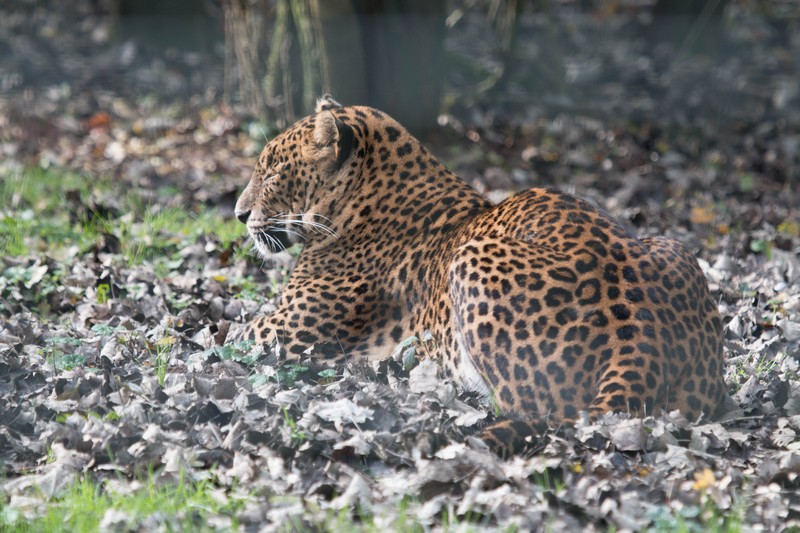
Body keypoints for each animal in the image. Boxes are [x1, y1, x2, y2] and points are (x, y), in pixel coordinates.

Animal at [233, 95, 732, 454]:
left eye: (273, 172)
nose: (238, 214)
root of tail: (644, 338)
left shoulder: (283, 332)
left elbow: (224, 335)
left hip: (472, 258)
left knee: (535, 410)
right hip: (673, 247)